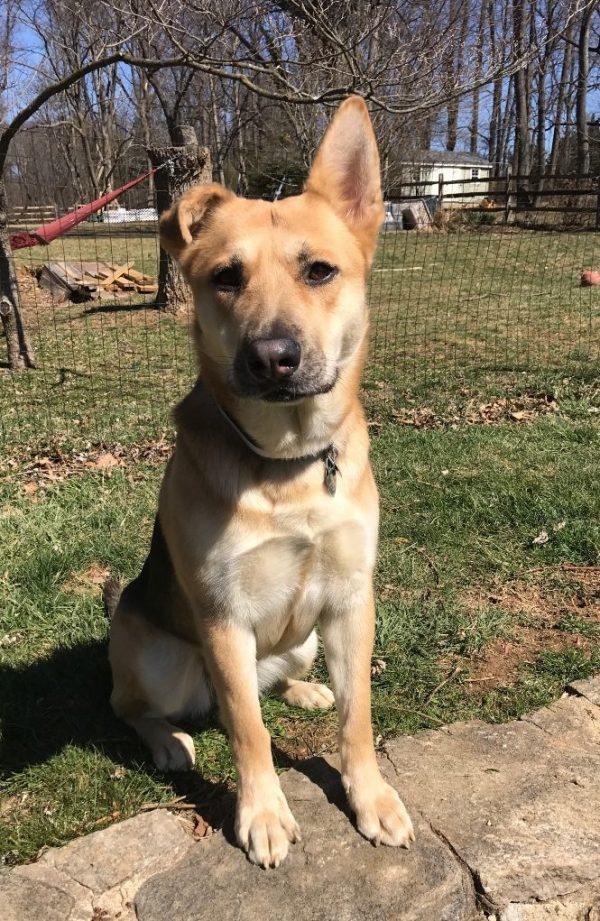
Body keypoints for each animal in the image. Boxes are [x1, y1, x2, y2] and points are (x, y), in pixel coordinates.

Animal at [108, 97, 414, 868]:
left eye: (320, 271)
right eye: (225, 276)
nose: (273, 357)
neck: (289, 464)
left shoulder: (351, 600)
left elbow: (357, 714)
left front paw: (370, 797)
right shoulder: (223, 619)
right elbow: (248, 730)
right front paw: (264, 813)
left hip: (301, 638)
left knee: (272, 680)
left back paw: (303, 690)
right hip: (159, 654)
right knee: (138, 706)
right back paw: (169, 740)